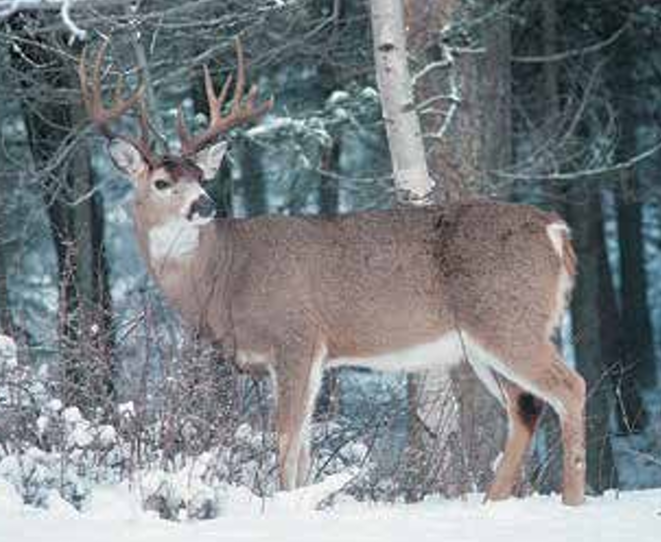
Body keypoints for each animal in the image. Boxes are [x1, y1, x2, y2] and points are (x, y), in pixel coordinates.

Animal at [79, 38, 586, 506]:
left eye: (201, 178)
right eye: (163, 182)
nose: (205, 204)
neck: (225, 275)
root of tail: (556, 229)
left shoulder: (297, 336)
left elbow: (286, 441)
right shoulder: (306, 357)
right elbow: (303, 445)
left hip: (506, 320)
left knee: (570, 388)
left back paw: (571, 502)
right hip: (487, 341)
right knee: (526, 408)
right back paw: (492, 502)